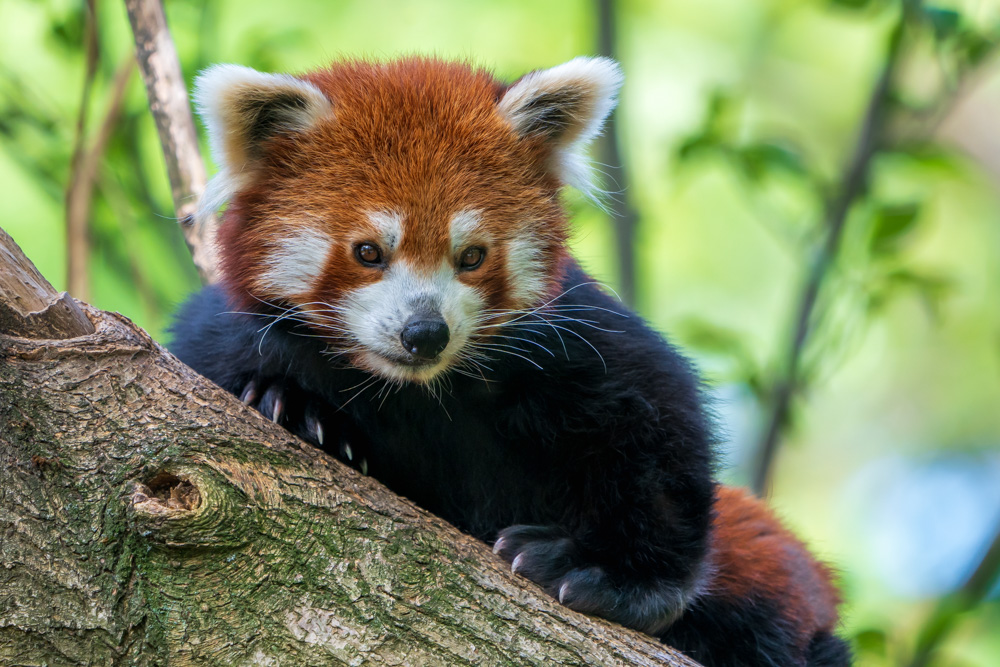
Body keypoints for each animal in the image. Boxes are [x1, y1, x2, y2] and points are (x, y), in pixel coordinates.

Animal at [168, 54, 848, 664]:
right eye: (367, 252)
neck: (417, 391)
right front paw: (293, 405)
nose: (425, 332)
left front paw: (615, 577)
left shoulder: (575, 338)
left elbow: (658, 421)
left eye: (471, 256)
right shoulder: (216, 333)